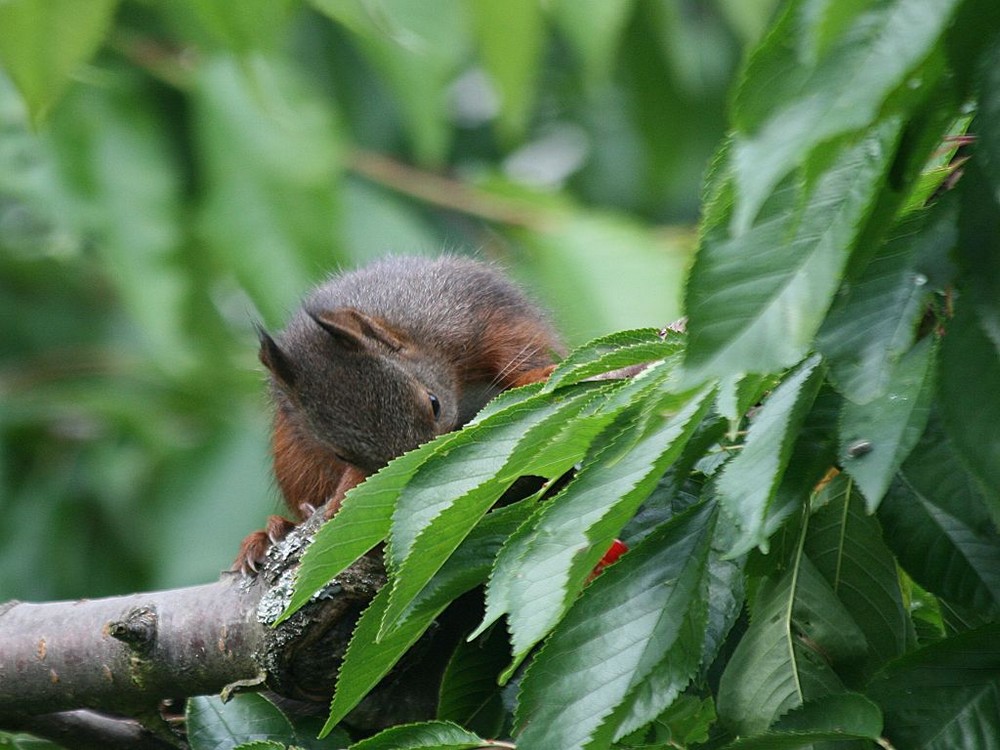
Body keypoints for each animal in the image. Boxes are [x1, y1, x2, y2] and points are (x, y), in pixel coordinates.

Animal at [234, 256, 564, 572]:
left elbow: (515, 344)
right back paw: (272, 532)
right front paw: (344, 492)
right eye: (343, 456)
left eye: (434, 403)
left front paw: (534, 374)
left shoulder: (469, 310)